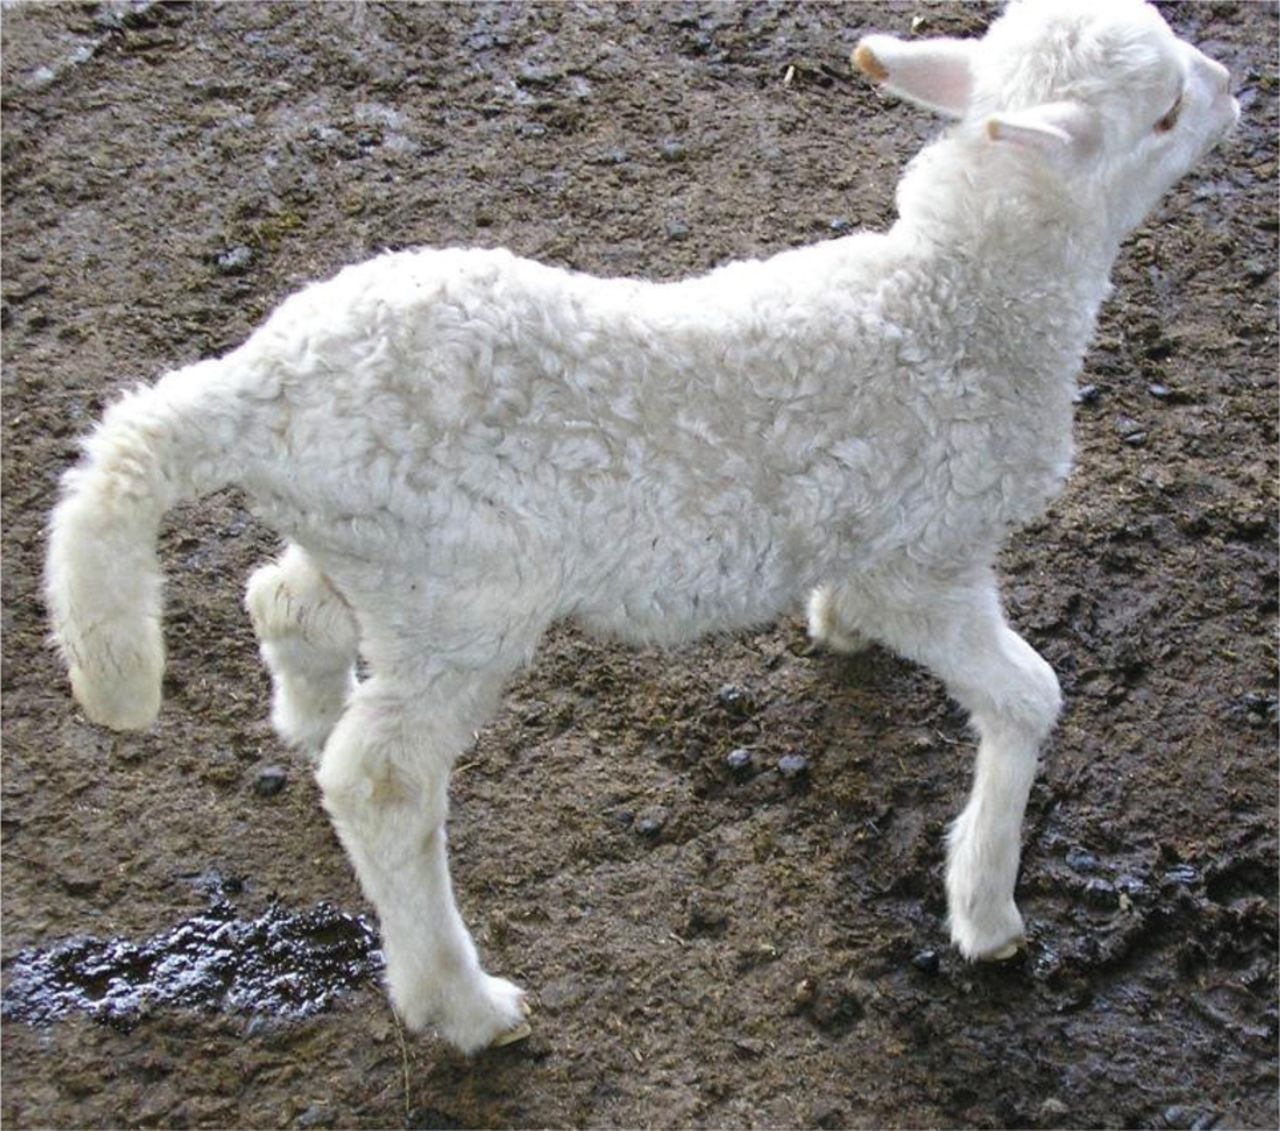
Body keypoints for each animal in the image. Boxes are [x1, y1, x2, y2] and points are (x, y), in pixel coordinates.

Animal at [45, 0, 1238, 1054]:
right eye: (1165, 112)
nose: (1231, 84)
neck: (955, 300)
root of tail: (261, 387)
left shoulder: (880, 535)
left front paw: (837, 629)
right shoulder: (927, 555)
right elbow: (1028, 697)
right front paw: (985, 904)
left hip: (376, 550)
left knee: (286, 600)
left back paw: (305, 716)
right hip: (461, 594)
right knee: (382, 783)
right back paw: (460, 1003)